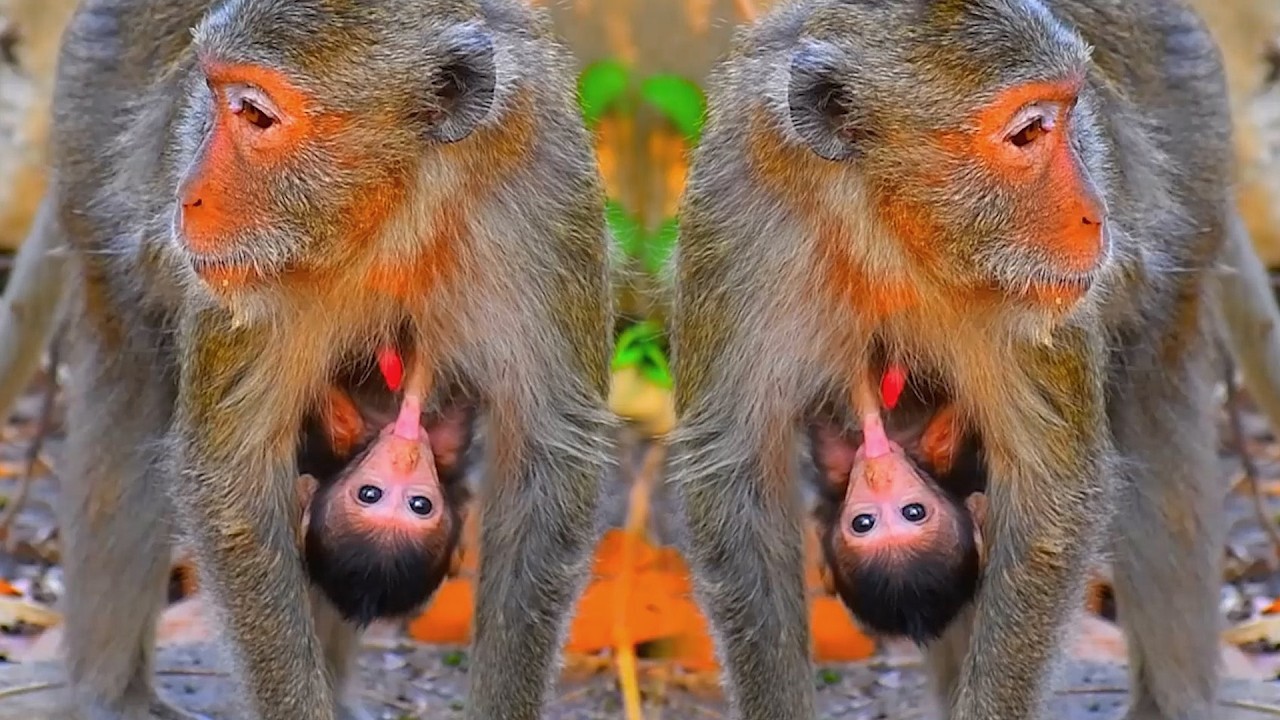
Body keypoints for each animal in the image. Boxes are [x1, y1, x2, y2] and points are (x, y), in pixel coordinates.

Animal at [0, 1, 615, 719]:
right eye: (214, 96)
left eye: (255, 115)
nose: (187, 197)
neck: (401, 202)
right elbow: (233, 477)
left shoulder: (547, 204)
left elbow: (543, 476)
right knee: (130, 380)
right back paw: (109, 695)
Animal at [665, 1, 1280, 719]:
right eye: (1029, 132)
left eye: (1071, 112)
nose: (1095, 215)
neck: (882, 220)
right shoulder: (736, 217)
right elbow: (741, 491)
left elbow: (1050, 492)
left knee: (1157, 419)